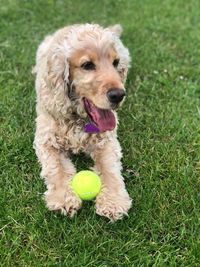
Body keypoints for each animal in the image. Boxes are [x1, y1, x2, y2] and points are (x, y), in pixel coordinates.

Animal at [33, 24, 132, 222]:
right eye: (87, 65)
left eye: (115, 63)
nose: (119, 95)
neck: (78, 118)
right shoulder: (46, 140)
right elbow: (56, 168)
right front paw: (64, 198)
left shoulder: (106, 141)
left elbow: (110, 168)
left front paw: (114, 202)